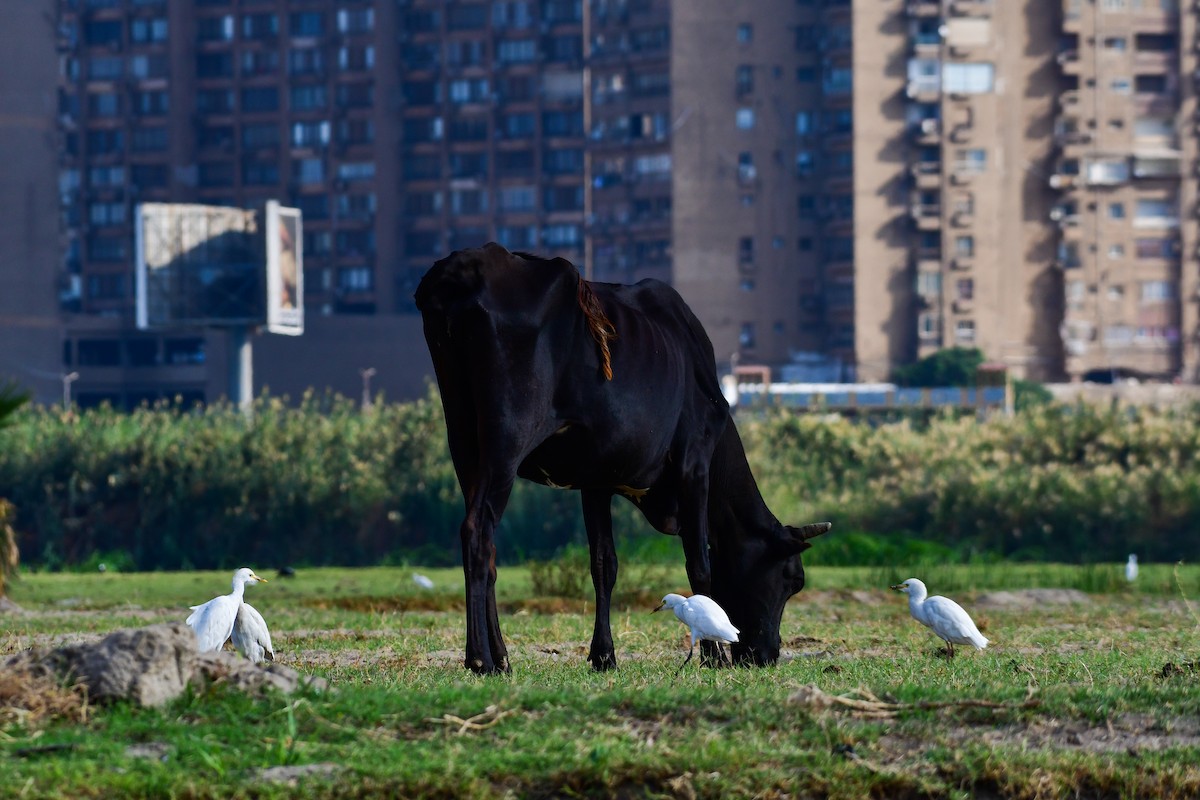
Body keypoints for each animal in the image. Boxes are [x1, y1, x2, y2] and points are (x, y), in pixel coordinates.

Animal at [414, 243, 830, 674]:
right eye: (792, 579)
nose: (767, 655)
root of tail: (465, 267)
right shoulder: (694, 462)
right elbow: (699, 562)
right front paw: (712, 656)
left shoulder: (595, 477)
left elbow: (604, 564)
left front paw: (604, 654)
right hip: (507, 436)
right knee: (478, 531)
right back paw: (480, 657)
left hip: (464, 438)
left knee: (488, 543)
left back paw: (501, 656)